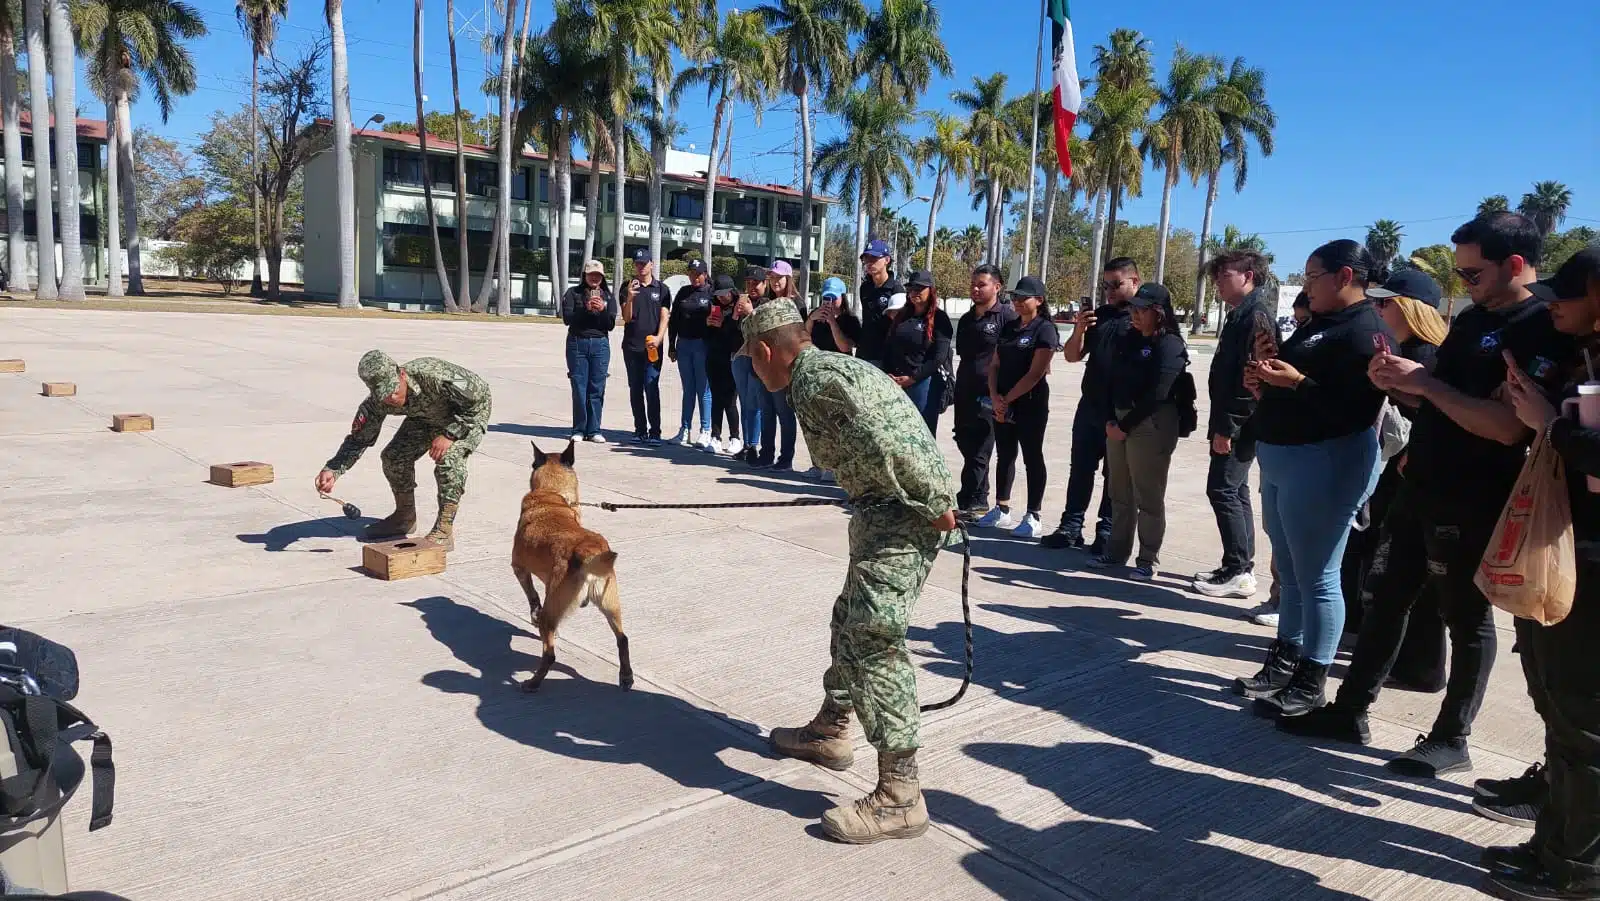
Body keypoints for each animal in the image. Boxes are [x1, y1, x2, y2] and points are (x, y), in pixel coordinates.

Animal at [515, 441, 633, 691]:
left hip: (554, 608)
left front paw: (534, 614)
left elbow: (532, 596)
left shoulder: (519, 568)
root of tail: (588, 552)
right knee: (623, 639)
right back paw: (626, 676)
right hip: (610, 604)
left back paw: (533, 683)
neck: (552, 495)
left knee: (549, 654)